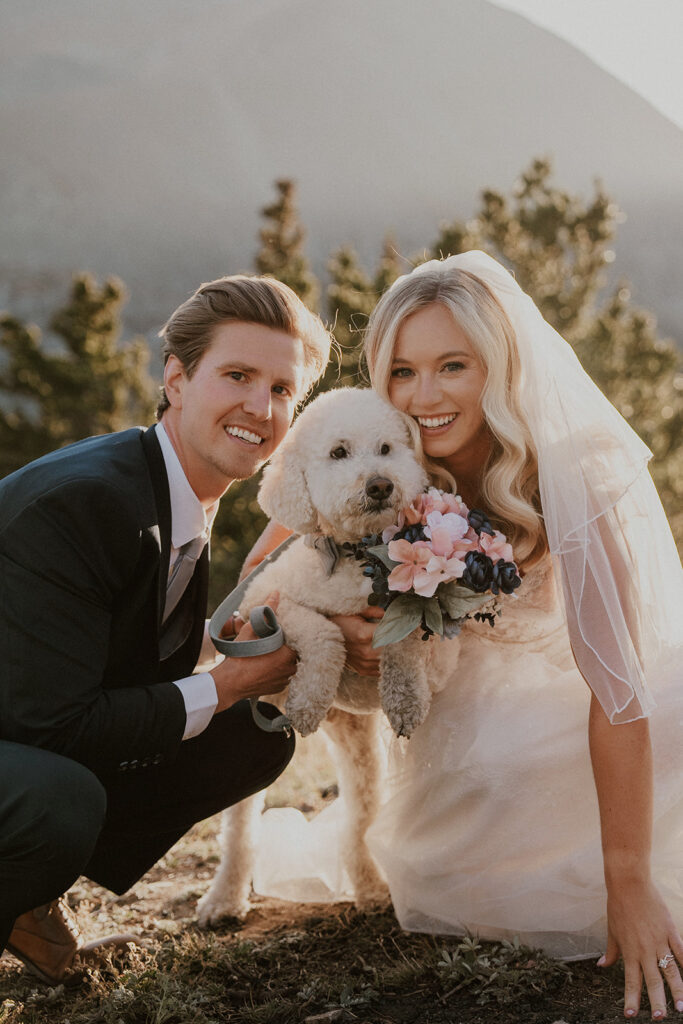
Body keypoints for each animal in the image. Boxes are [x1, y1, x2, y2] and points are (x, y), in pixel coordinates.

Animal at [200, 387, 440, 925]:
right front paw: (309, 698)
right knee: (240, 827)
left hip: (358, 745)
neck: (357, 558)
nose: (380, 485)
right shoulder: (271, 605)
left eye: (387, 448)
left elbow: (404, 640)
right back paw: (224, 897)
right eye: (338, 453)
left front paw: (406, 697)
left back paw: (370, 886)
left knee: (361, 817)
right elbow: (325, 631)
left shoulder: (415, 612)